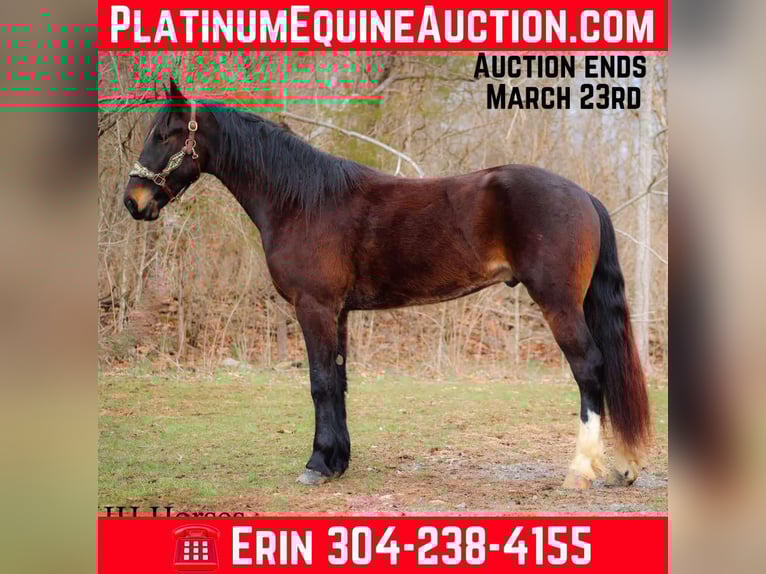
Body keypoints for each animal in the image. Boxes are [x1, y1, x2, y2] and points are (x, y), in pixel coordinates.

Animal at [123, 79, 650, 489]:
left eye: (165, 133)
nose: (134, 200)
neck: (303, 201)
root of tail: (582, 195)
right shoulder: (337, 312)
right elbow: (337, 381)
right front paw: (336, 461)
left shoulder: (314, 307)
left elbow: (319, 382)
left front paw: (316, 465)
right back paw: (622, 468)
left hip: (558, 304)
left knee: (590, 369)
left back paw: (581, 470)